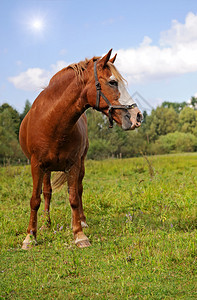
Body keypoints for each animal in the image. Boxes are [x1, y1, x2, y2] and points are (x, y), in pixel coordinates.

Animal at [20, 49, 142, 248]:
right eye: (113, 82)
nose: (137, 116)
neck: (52, 122)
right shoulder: (36, 165)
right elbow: (35, 200)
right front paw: (30, 237)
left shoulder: (74, 164)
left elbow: (74, 198)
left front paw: (79, 234)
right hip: (46, 170)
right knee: (47, 193)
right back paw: (46, 224)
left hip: (80, 164)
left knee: (78, 189)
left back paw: (81, 221)